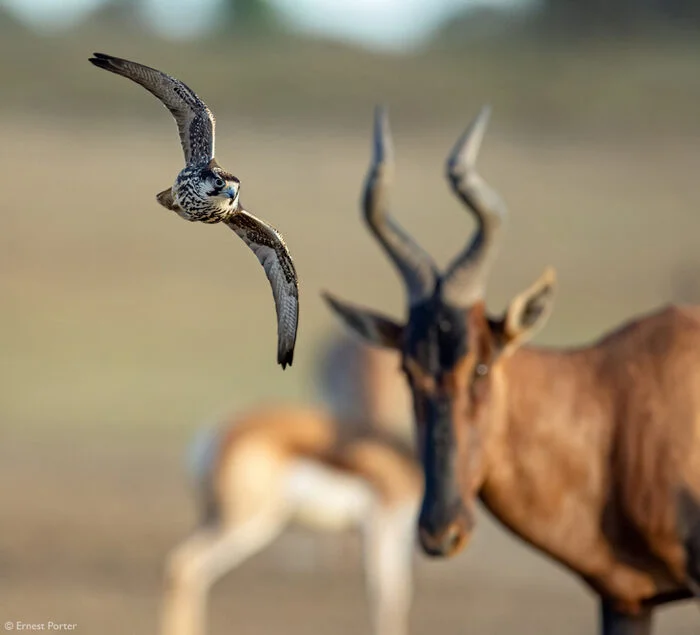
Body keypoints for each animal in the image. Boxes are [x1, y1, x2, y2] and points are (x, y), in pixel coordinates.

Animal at [160, 404, 422, 635]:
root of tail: (216, 435)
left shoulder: (388, 533)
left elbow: (395, 592)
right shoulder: (383, 523)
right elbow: (387, 596)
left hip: (211, 519)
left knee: (183, 566)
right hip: (248, 524)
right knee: (187, 565)